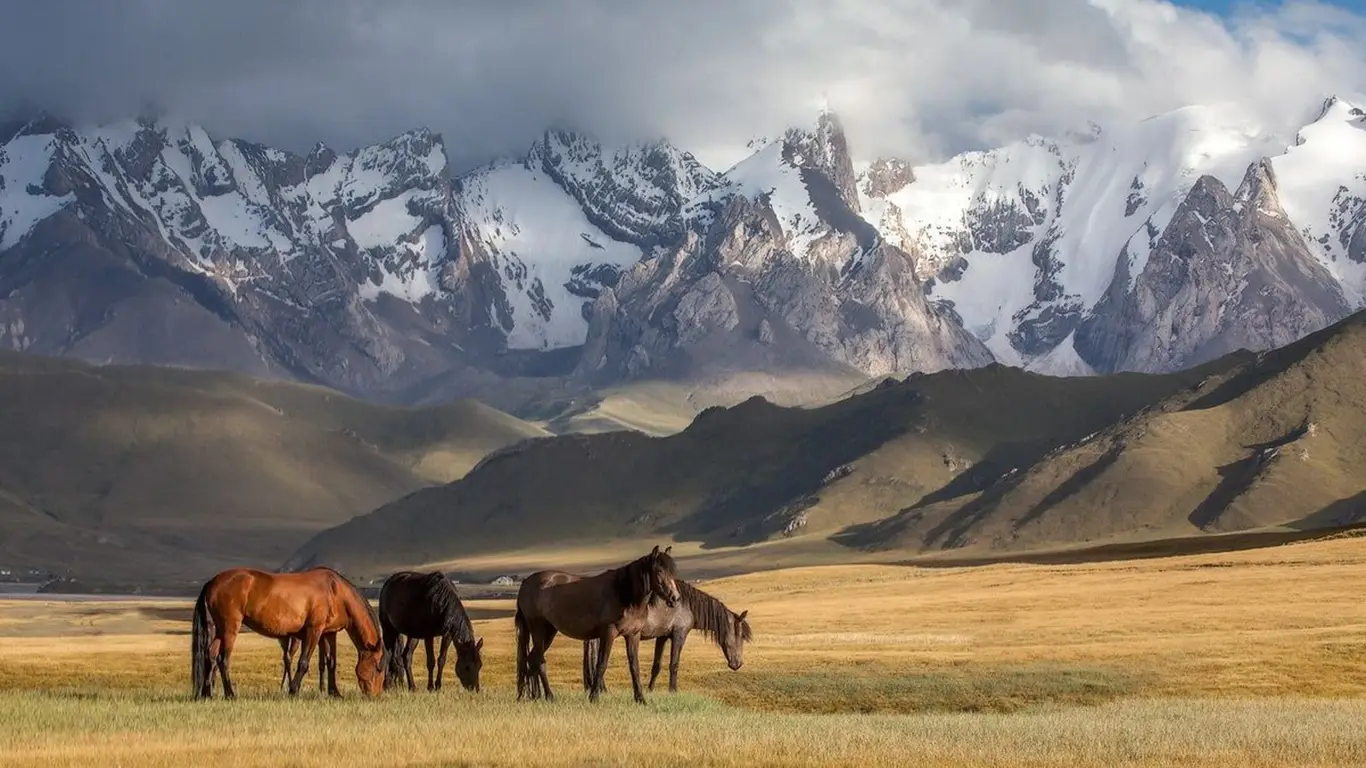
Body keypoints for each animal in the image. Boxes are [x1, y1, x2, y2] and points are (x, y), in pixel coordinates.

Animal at [190, 566, 385, 699]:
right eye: (378, 666)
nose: (375, 695)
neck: (336, 592)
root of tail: (213, 582)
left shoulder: (329, 634)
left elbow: (331, 663)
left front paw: (334, 692)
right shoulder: (314, 630)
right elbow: (304, 662)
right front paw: (293, 690)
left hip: (220, 630)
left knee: (211, 655)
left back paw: (207, 693)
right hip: (230, 628)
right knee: (223, 659)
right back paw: (230, 694)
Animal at [514, 545, 681, 704]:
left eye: (673, 571)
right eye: (659, 571)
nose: (675, 598)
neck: (623, 593)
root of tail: (526, 583)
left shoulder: (633, 635)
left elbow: (634, 667)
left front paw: (640, 699)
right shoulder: (608, 633)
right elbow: (601, 664)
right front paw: (594, 697)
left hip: (549, 631)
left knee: (532, 659)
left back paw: (535, 696)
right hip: (538, 628)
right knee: (539, 660)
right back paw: (549, 696)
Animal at [580, 579, 751, 694]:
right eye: (740, 636)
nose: (738, 664)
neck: (686, 605)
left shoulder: (662, 637)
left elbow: (657, 666)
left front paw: (650, 690)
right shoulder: (678, 635)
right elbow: (673, 664)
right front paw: (673, 690)